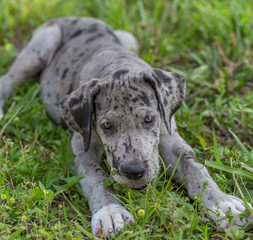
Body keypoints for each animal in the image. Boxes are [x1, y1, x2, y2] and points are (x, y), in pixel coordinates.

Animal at [0, 17, 251, 237]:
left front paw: (222, 203)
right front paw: (110, 212)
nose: (134, 172)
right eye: (106, 125)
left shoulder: (169, 137)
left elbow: (196, 169)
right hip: (42, 45)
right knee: (8, 78)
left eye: (149, 119)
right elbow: (95, 176)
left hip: (128, 37)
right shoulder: (81, 148)